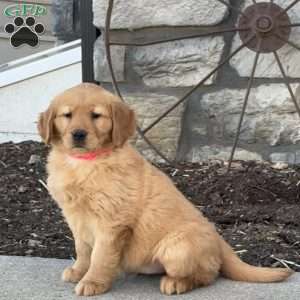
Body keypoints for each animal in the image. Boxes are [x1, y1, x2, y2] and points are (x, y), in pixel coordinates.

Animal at [37, 83, 292, 296]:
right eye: (67, 115)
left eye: (96, 115)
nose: (78, 134)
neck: (85, 163)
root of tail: (218, 239)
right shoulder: (75, 218)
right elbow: (82, 249)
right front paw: (79, 271)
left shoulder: (112, 222)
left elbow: (100, 255)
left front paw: (93, 282)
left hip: (177, 248)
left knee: (209, 274)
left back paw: (176, 283)